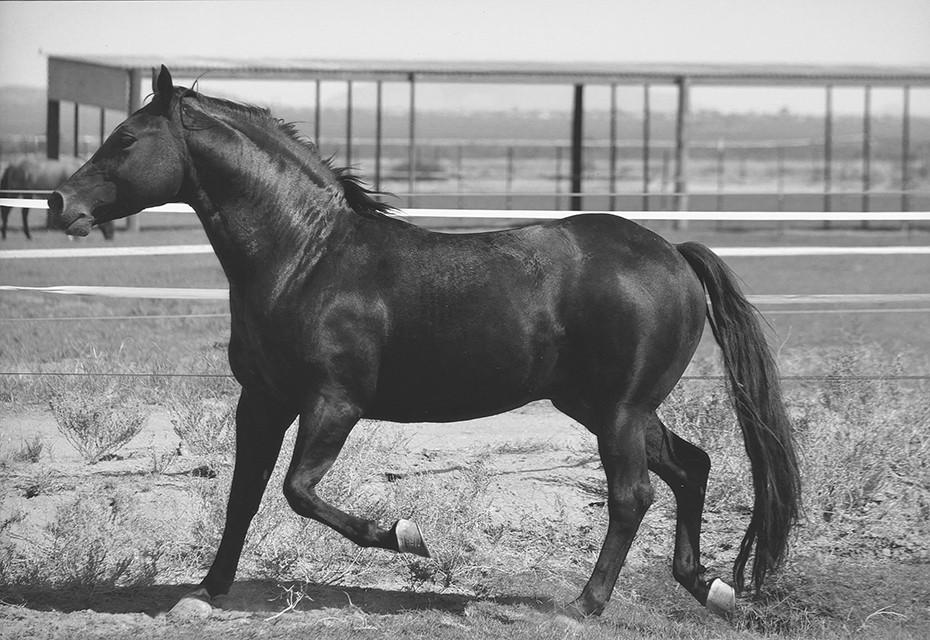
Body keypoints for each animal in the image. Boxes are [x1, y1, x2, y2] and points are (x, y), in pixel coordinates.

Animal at [49, 67, 796, 624]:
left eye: (124, 139)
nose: (60, 204)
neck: (305, 259)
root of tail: (672, 254)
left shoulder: (333, 404)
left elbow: (297, 491)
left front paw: (405, 536)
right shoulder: (261, 401)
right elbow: (245, 495)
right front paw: (204, 592)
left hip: (617, 412)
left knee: (632, 495)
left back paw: (585, 604)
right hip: (611, 407)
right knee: (690, 467)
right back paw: (710, 587)